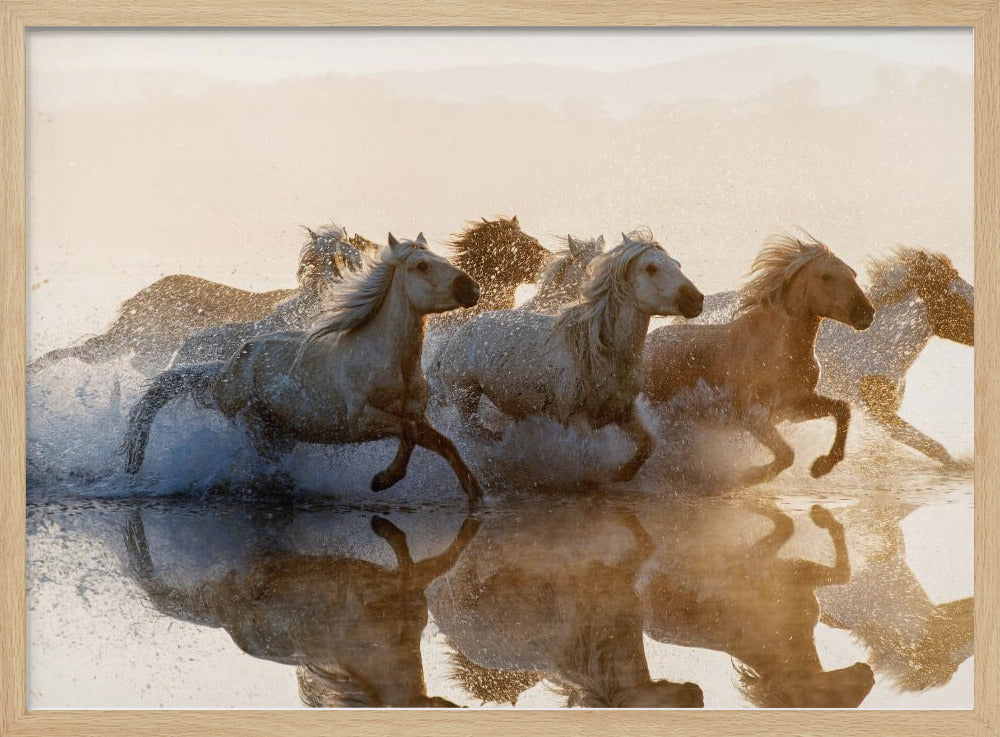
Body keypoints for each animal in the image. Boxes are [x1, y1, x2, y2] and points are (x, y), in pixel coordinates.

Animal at [430, 230, 703, 483]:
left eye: (677, 264)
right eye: (651, 268)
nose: (696, 300)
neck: (598, 352)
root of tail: (460, 332)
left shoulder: (623, 411)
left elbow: (648, 444)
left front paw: (620, 474)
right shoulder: (577, 418)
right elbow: (591, 459)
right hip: (465, 395)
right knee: (472, 431)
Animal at [643, 232, 875, 486]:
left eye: (853, 274)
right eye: (826, 276)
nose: (866, 312)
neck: (781, 351)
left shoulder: (794, 407)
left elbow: (842, 409)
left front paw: (822, 465)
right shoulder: (753, 416)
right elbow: (787, 455)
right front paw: (749, 474)